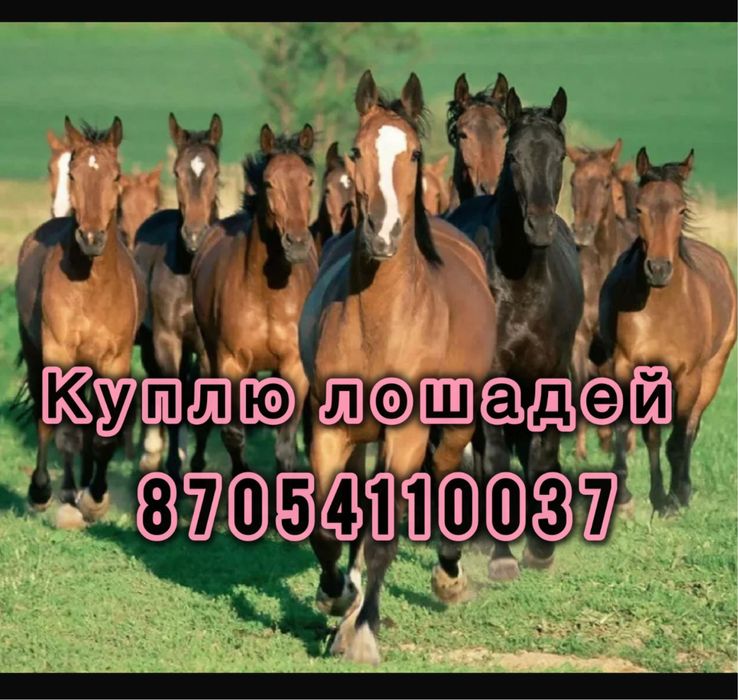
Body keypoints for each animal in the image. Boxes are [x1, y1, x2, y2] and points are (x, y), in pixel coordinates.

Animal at [16, 117, 145, 526]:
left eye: (116, 175)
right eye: (73, 174)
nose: (91, 238)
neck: (92, 285)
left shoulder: (115, 361)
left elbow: (103, 433)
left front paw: (96, 497)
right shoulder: (59, 356)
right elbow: (62, 427)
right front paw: (58, 497)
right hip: (38, 354)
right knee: (51, 421)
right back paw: (53, 492)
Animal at [192, 123, 318, 476]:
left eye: (309, 180)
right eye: (269, 182)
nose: (296, 243)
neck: (266, 294)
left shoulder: (293, 364)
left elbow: (285, 447)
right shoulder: (231, 361)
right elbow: (234, 434)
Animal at [299, 71, 497, 665]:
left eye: (412, 153)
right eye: (357, 150)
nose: (382, 234)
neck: (381, 321)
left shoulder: (406, 435)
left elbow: (384, 537)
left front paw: (363, 633)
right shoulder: (330, 430)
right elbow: (327, 523)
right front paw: (335, 597)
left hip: (451, 428)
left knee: (447, 477)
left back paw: (449, 577)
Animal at [447, 86, 583, 580]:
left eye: (561, 155)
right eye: (514, 156)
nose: (539, 225)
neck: (522, 284)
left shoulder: (551, 375)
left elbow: (542, 453)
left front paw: (540, 550)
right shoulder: (490, 378)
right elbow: (496, 455)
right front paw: (503, 557)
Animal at [591, 148, 736, 516]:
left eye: (681, 209)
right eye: (640, 208)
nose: (657, 269)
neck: (661, 308)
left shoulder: (689, 376)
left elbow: (679, 438)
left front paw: (672, 501)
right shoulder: (627, 367)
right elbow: (635, 432)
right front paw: (629, 496)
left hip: (713, 372)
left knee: (691, 429)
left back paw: (682, 490)